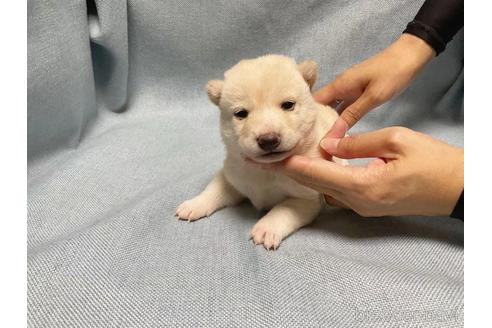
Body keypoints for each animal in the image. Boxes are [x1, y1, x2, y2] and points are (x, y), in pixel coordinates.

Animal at [177, 54, 342, 249]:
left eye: (288, 105)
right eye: (241, 113)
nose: (268, 139)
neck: (266, 170)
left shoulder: (307, 196)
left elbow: (285, 209)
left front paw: (266, 229)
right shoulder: (233, 174)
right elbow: (215, 188)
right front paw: (194, 204)